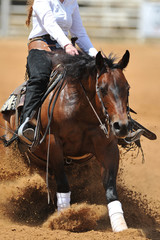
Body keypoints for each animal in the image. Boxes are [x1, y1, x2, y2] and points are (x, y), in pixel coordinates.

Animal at [0, 50, 156, 232]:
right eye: (102, 89)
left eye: (127, 88)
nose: (122, 126)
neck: (79, 109)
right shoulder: (53, 144)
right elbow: (63, 184)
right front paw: (66, 219)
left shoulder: (108, 148)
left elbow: (110, 188)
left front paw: (121, 227)